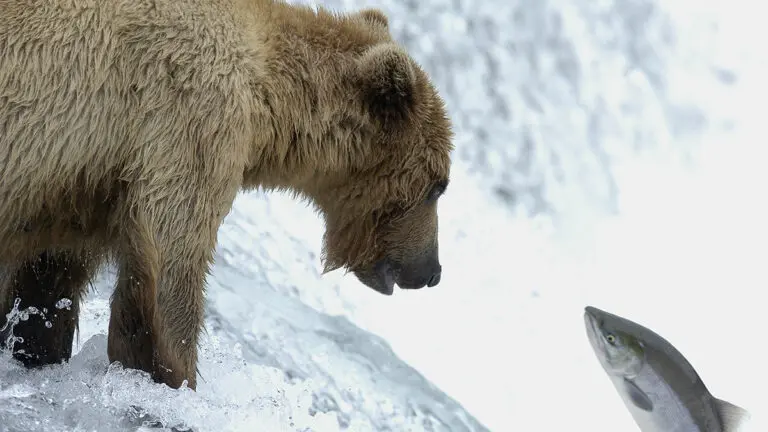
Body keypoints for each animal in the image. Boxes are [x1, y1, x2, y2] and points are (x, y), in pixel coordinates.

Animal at [0, 0, 450, 390]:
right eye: (439, 187)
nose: (432, 270)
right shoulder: (190, 123)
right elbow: (170, 269)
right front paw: (172, 378)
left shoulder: (86, 182)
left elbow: (49, 278)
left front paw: (36, 345)